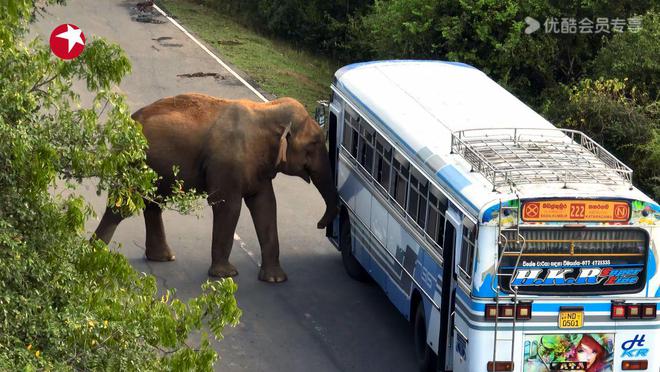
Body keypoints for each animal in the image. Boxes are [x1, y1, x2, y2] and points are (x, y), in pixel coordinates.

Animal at [93, 93, 338, 282]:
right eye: (314, 144)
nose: (319, 225)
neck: (267, 110)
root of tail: (128, 121)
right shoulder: (227, 164)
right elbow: (228, 206)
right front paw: (225, 275)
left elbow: (266, 205)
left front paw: (275, 279)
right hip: (132, 162)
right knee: (123, 205)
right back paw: (94, 252)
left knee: (154, 203)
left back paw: (163, 257)